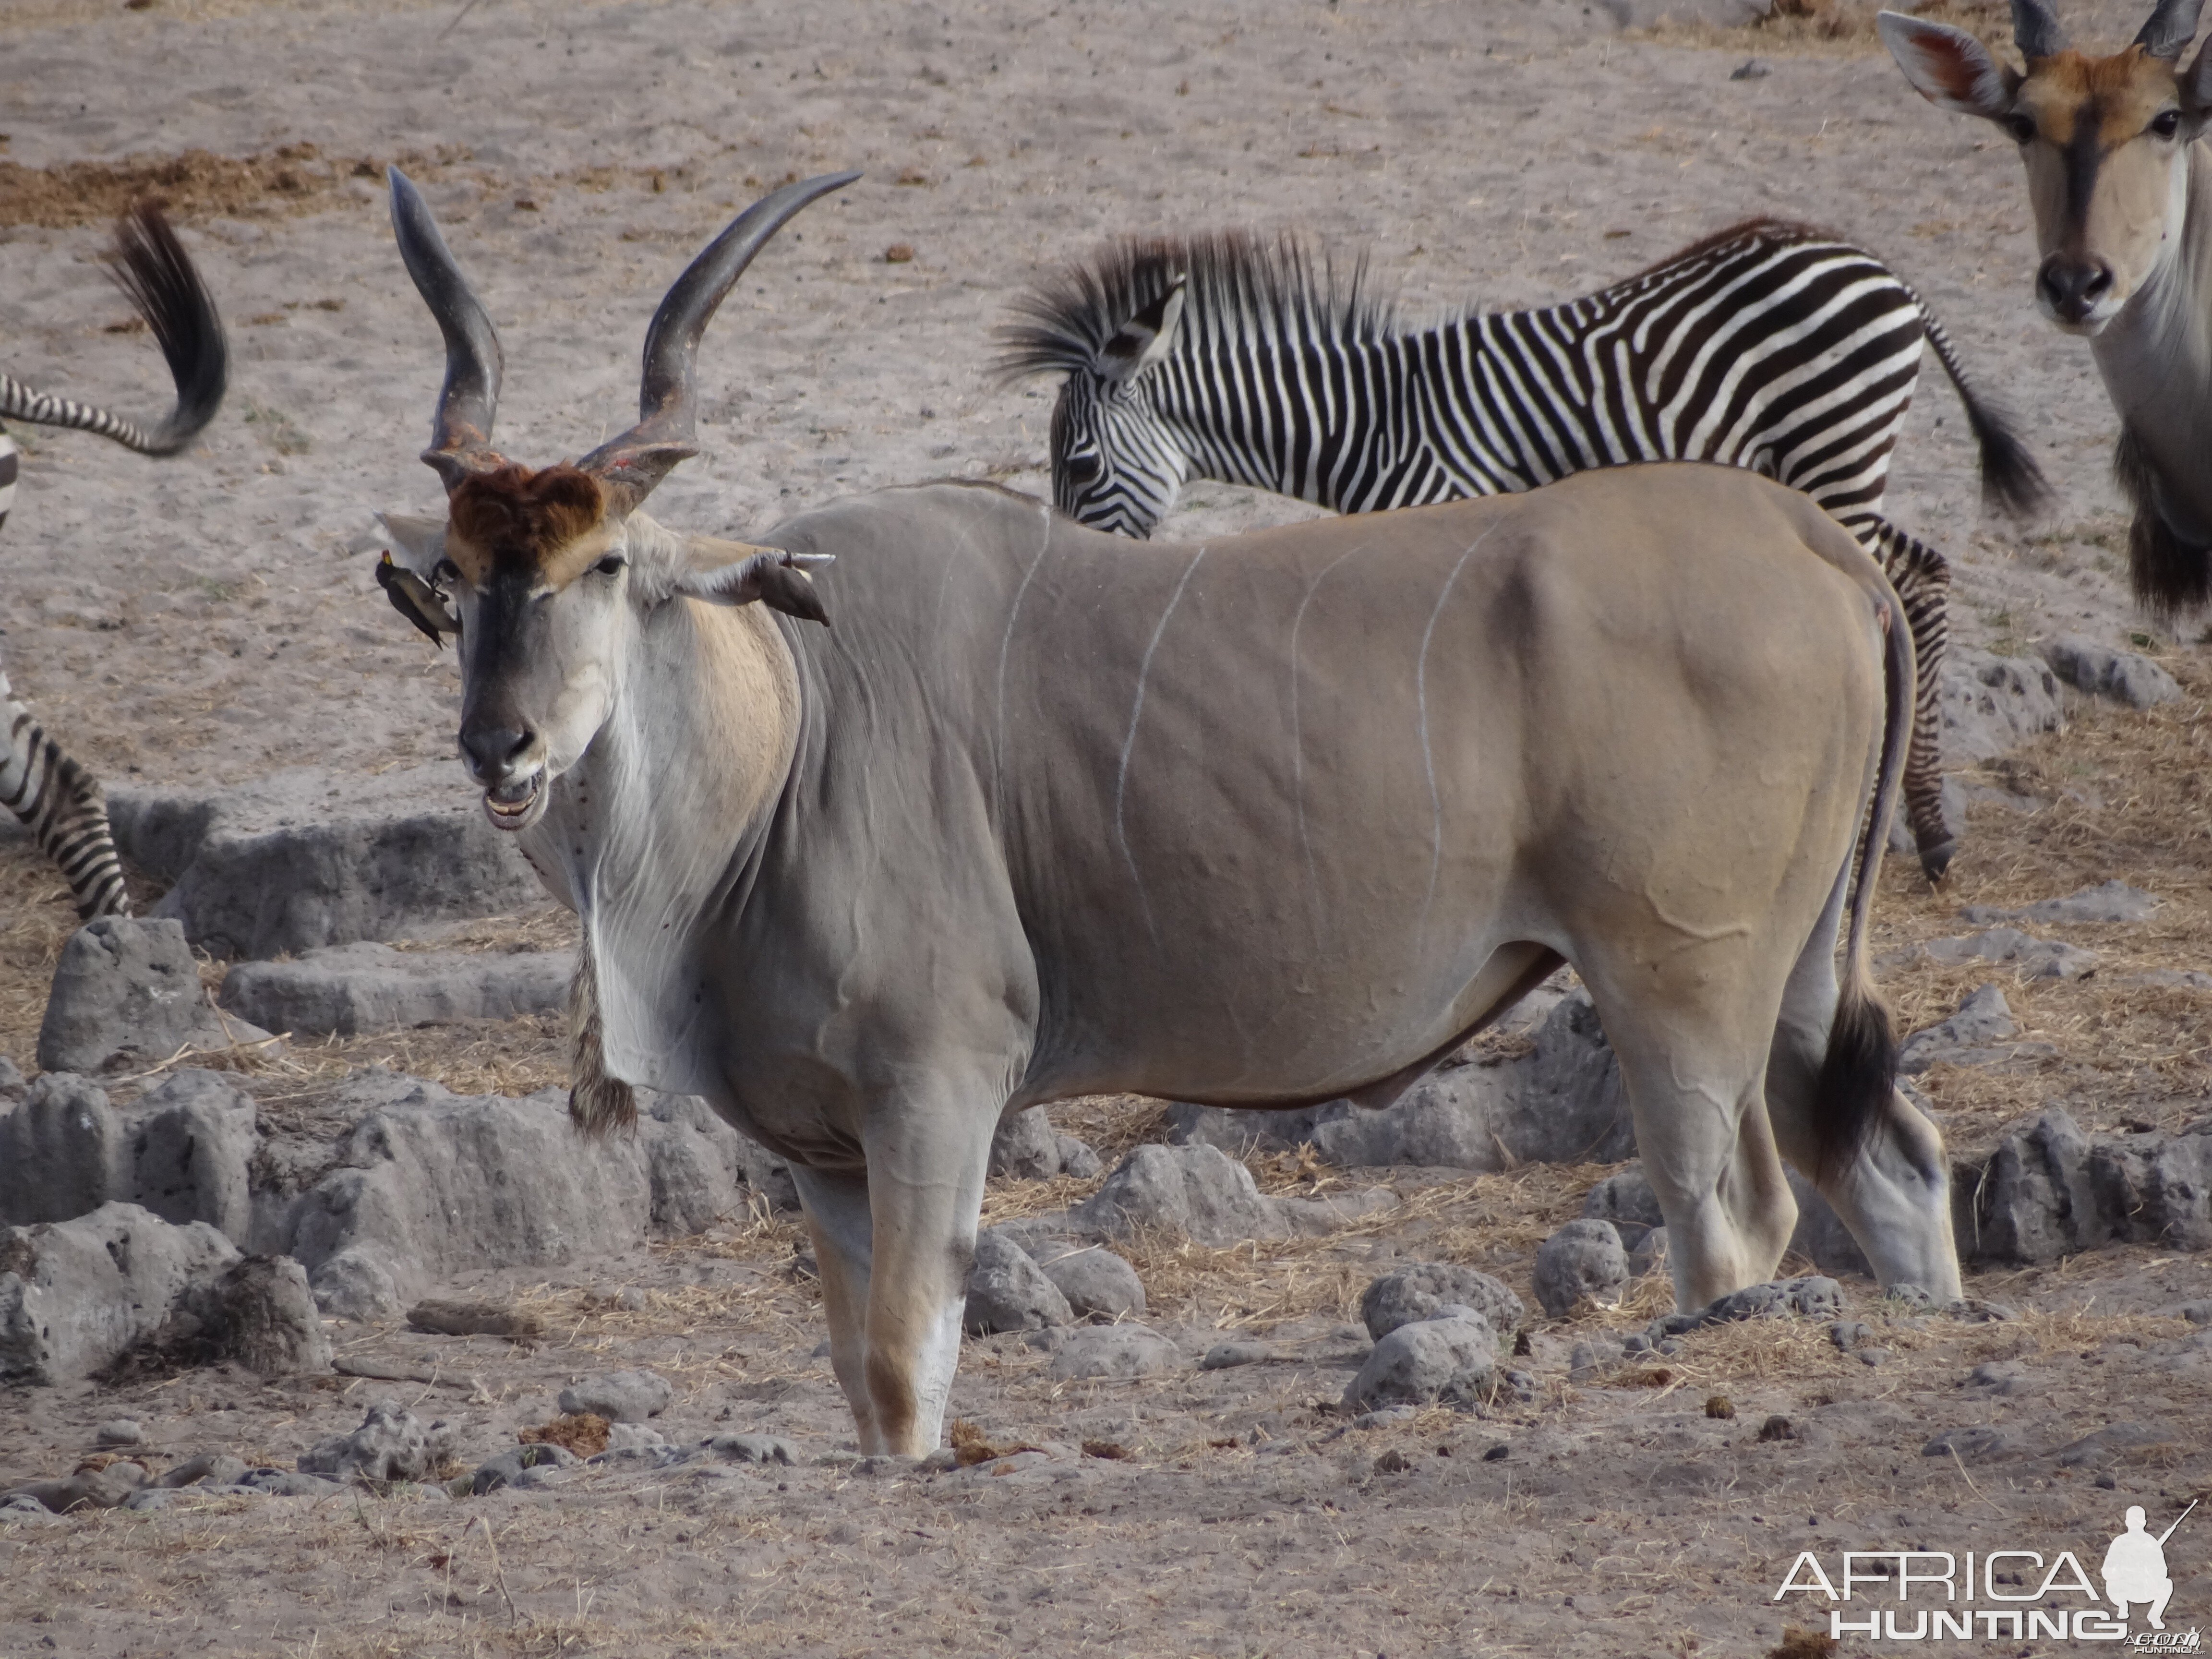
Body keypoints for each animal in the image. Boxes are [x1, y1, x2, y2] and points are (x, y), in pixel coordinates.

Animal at [1004, 221, 2053, 885]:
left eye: (1079, 463)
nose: (1063, 595)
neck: (1372, 428)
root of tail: (1872, 264)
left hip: (1835, 452)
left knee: (1891, 595)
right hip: (1826, 467)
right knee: (1925, 573)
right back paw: (1923, 828)